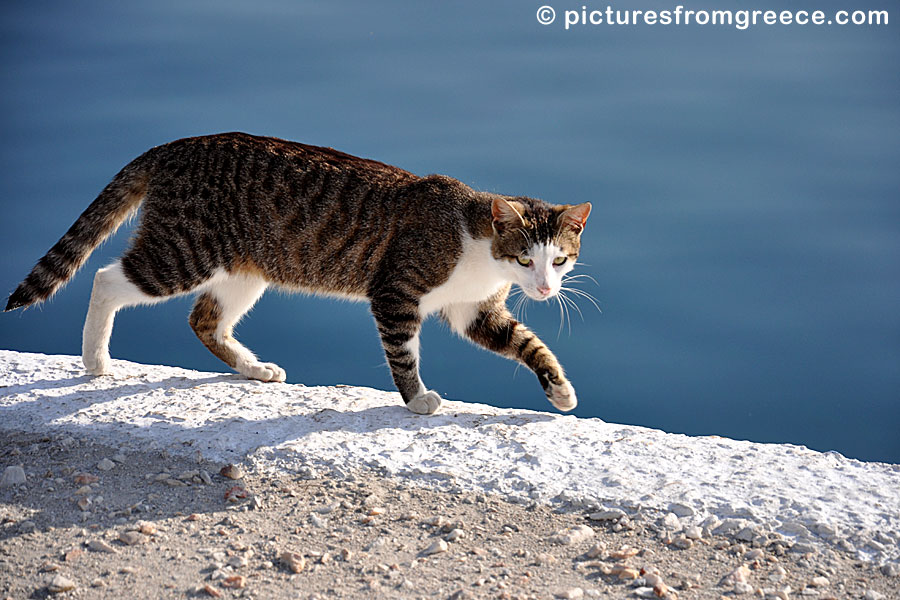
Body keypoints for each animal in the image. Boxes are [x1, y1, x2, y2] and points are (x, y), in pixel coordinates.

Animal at [5, 132, 592, 414]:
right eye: (524, 258)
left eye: (559, 260)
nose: (544, 287)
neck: (476, 247)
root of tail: (174, 148)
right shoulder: (396, 291)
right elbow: (403, 352)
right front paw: (416, 398)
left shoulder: (474, 309)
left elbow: (527, 343)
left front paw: (560, 390)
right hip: (184, 251)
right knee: (108, 279)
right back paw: (96, 359)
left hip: (245, 269)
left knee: (205, 319)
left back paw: (252, 368)